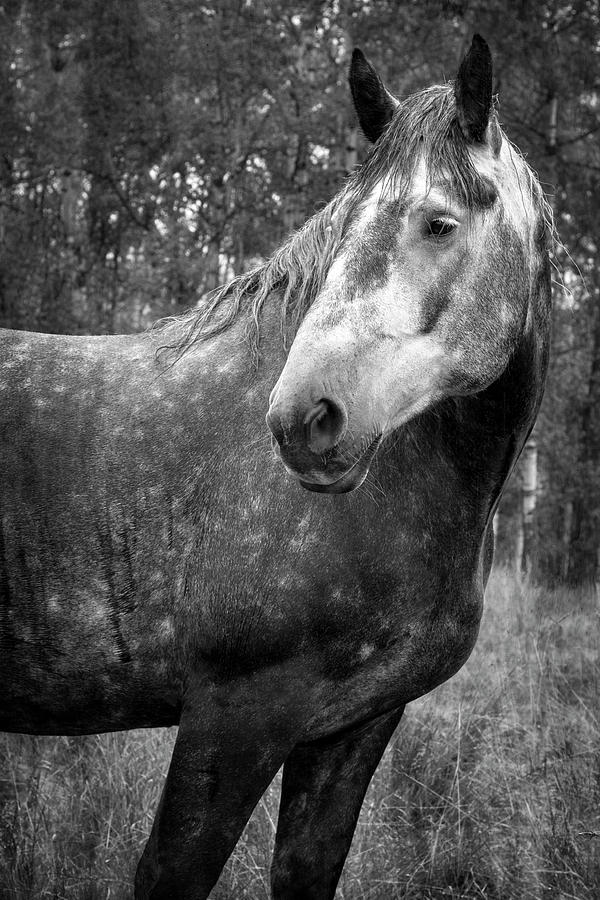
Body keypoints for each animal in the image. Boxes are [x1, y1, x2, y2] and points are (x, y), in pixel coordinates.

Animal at [1, 35, 552, 900]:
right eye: (342, 226)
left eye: (439, 223)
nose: (303, 419)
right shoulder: (238, 710)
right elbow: (172, 872)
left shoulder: (354, 725)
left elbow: (305, 868)